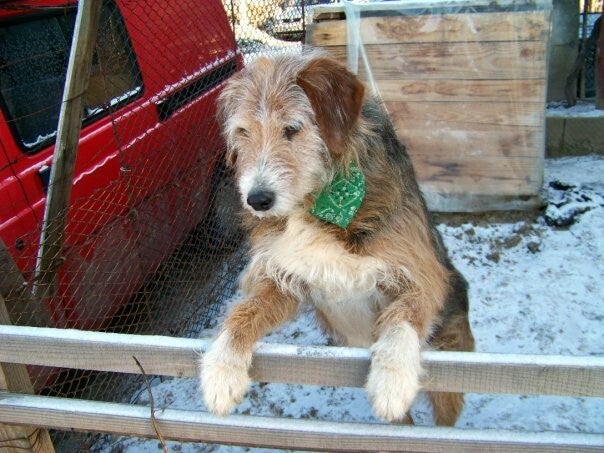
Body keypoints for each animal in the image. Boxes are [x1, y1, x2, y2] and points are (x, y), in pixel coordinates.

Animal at [200, 52, 475, 425]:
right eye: (242, 132)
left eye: (293, 128)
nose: (257, 200)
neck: (320, 206)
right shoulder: (283, 278)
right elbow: (243, 312)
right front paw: (221, 368)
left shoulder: (422, 273)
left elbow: (403, 316)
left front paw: (392, 380)